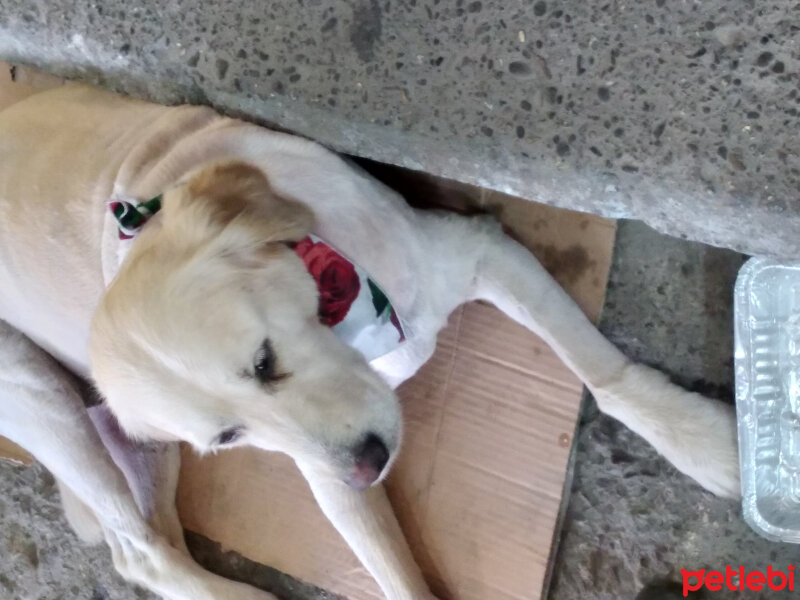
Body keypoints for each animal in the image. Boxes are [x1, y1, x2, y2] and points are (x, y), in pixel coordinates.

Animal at [0, 85, 736, 600]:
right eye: (228, 439)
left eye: (263, 362)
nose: (368, 466)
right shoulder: (326, 475)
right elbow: (396, 575)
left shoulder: (481, 250)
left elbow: (605, 376)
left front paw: (703, 441)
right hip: (37, 395)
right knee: (138, 549)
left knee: (152, 534)